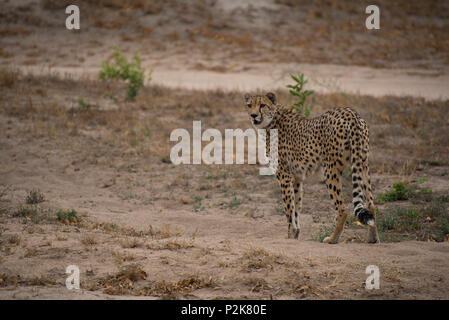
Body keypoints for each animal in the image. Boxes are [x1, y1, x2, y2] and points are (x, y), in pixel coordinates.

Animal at [245, 92, 378, 245]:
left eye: (262, 105)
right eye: (249, 105)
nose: (253, 115)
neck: (271, 121)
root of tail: (350, 113)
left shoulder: (284, 176)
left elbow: (288, 209)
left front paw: (289, 235)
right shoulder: (296, 177)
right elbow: (296, 206)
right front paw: (295, 234)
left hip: (330, 170)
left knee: (342, 209)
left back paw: (332, 239)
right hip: (363, 163)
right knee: (371, 204)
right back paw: (373, 238)